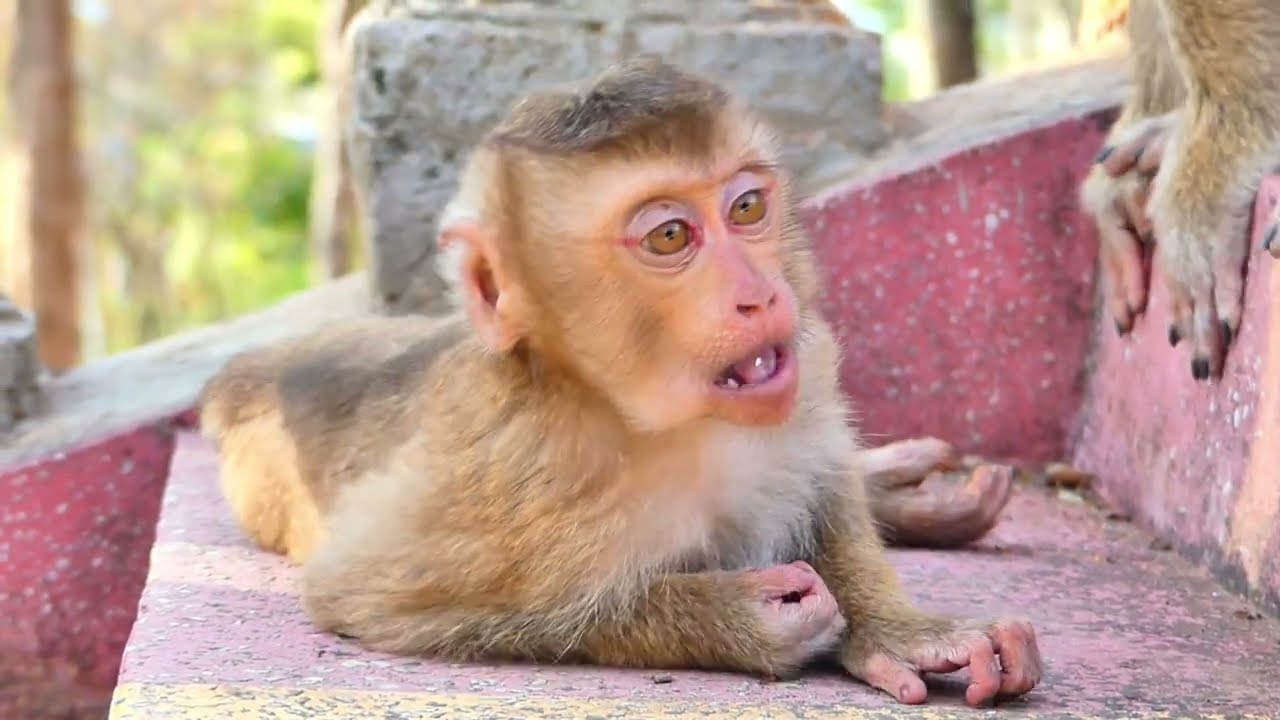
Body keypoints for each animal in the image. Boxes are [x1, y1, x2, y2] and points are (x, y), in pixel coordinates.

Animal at [199, 57, 1041, 707]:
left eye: (747, 206)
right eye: (670, 236)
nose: (761, 294)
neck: (658, 423)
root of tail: (243, 377)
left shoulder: (810, 366)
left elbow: (825, 481)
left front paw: (903, 629)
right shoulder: (508, 474)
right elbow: (364, 593)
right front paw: (733, 616)